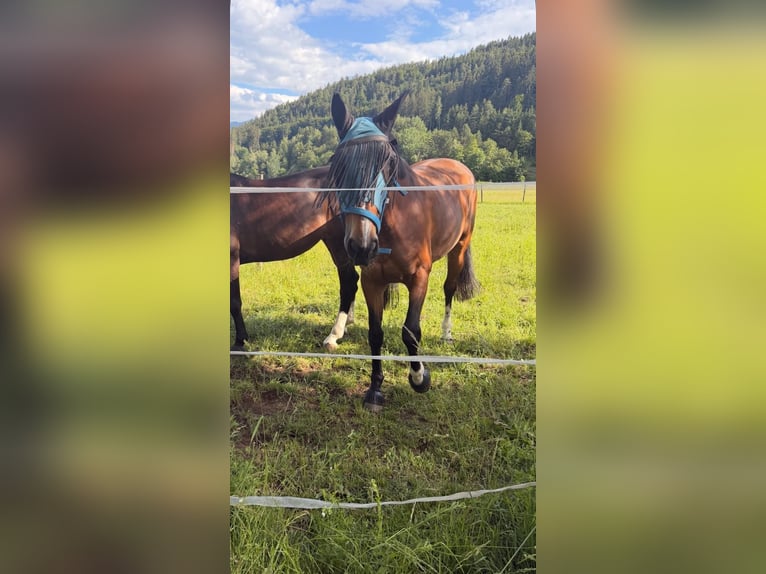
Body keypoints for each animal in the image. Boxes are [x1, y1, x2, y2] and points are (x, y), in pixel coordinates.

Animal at [230, 167, 358, 352]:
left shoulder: (231, 259)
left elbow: (234, 302)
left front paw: (240, 340)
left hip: (338, 243)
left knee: (349, 283)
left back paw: (333, 336)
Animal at [318, 92, 480, 411]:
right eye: (338, 165)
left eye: (388, 163)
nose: (361, 245)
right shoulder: (372, 281)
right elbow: (375, 333)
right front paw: (375, 388)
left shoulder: (419, 278)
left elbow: (411, 331)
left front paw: (419, 377)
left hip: (459, 248)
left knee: (450, 289)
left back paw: (446, 333)